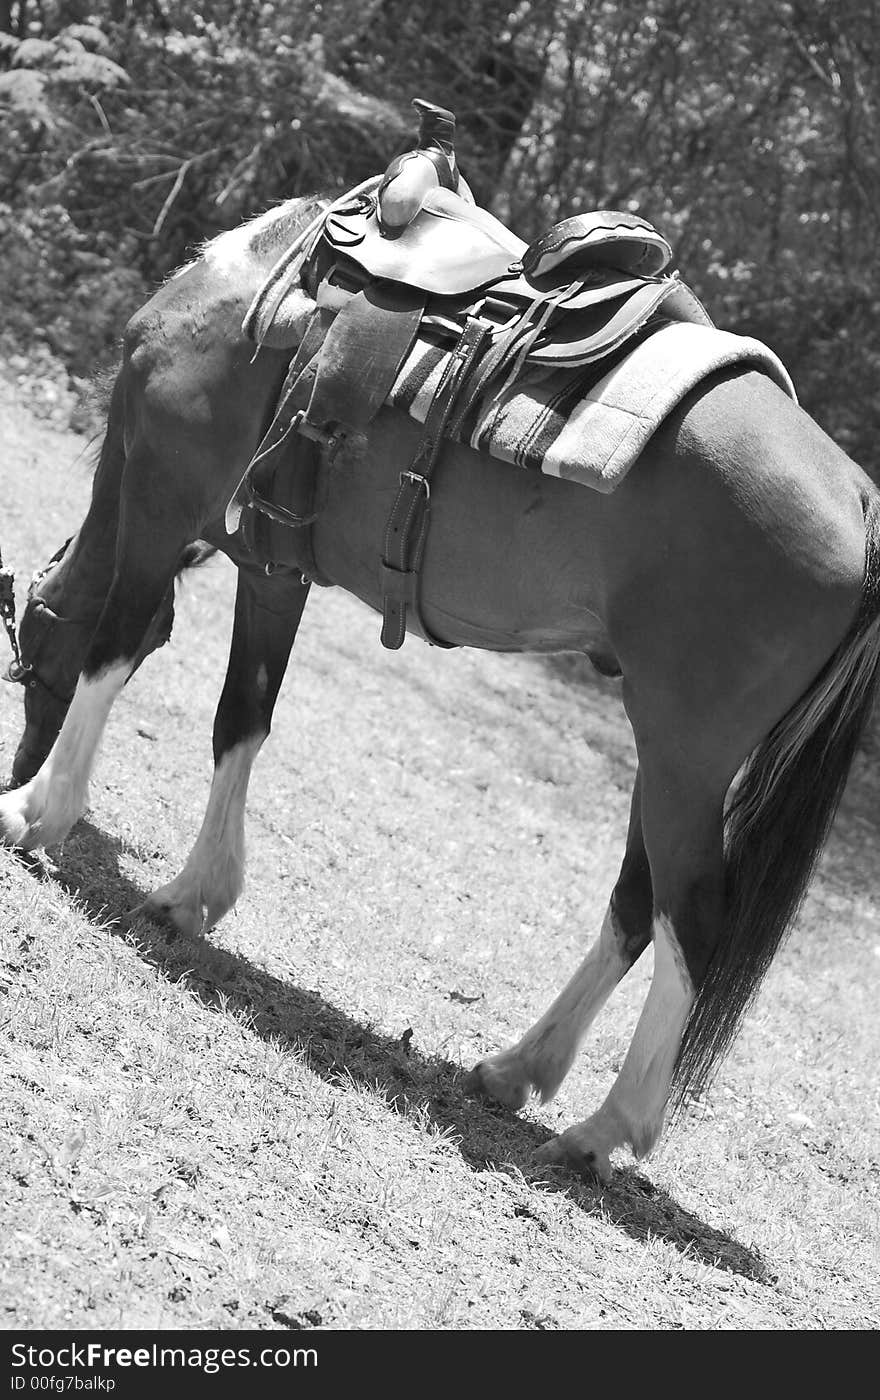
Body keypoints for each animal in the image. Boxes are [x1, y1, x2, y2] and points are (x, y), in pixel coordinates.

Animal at [1, 194, 878, 1181]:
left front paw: (38, 812)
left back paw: (607, 1127)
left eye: (27, 652)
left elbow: (114, 651)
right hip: (673, 760)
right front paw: (195, 894)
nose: (16, 764)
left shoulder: (161, 493)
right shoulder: (272, 567)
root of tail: (855, 495)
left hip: (683, 752)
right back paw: (519, 1067)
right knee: (635, 905)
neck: (242, 289)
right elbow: (242, 719)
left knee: (691, 914)